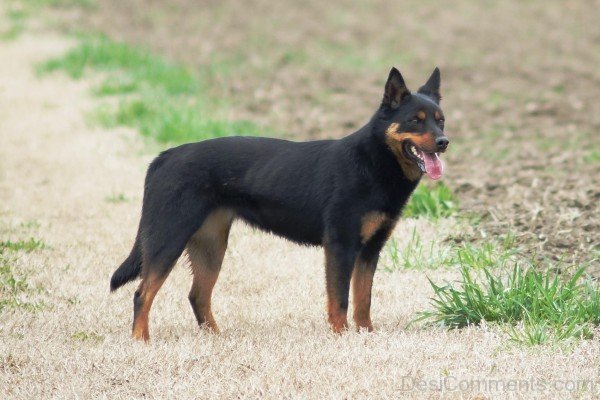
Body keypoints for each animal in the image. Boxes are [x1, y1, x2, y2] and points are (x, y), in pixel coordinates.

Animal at [111, 66, 450, 340]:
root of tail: (165, 156)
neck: (373, 162)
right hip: (168, 240)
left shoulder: (369, 250)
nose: (444, 142)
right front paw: (341, 337)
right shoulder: (340, 246)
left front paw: (366, 335)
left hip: (210, 245)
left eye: (440, 121)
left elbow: (363, 300)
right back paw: (141, 341)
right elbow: (339, 299)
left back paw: (216, 338)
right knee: (142, 293)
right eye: (415, 121)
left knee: (197, 296)